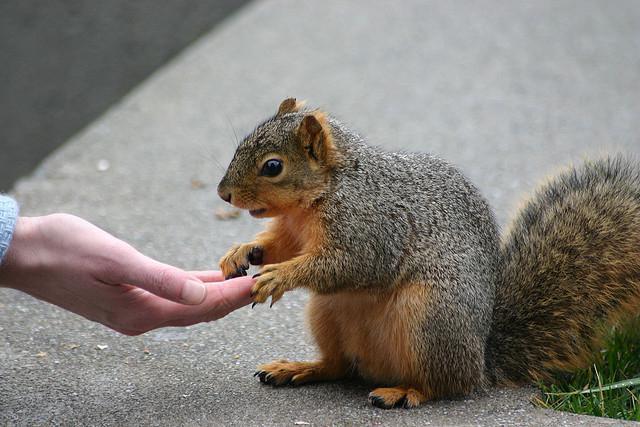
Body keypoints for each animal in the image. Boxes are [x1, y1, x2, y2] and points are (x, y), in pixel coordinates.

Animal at [216, 98, 640, 410]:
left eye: (273, 166)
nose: (224, 194)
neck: (326, 191)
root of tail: (481, 363)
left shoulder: (371, 228)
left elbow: (349, 264)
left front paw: (279, 276)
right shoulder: (293, 231)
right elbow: (282, 248)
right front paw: (242, 252)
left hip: (430, 318)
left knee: (444, 386)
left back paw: (406, 392)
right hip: (328, 314)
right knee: (339, 366)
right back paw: (301, 368)